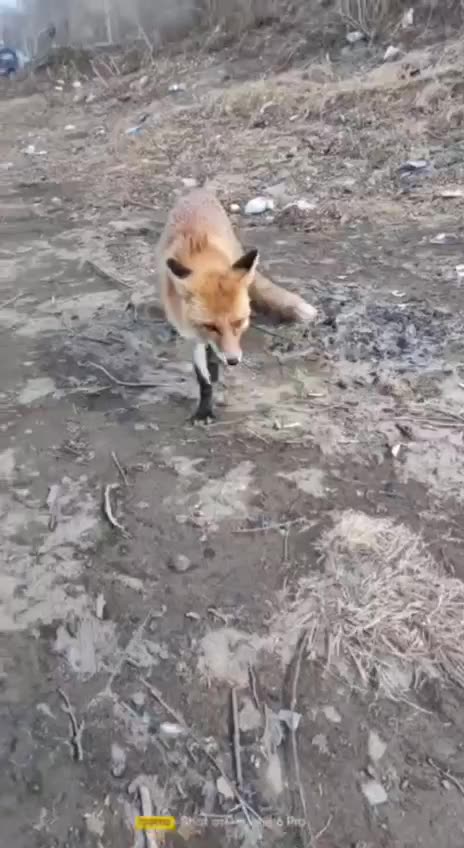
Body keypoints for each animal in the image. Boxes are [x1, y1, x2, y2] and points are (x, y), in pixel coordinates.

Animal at [157, 188, 317, 423]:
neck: (201, 255)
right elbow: (203, 378)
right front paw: (204, 409)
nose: (233, 361)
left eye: (239, 322)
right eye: (210, 326)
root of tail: (197, 191)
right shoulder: (193, 334)